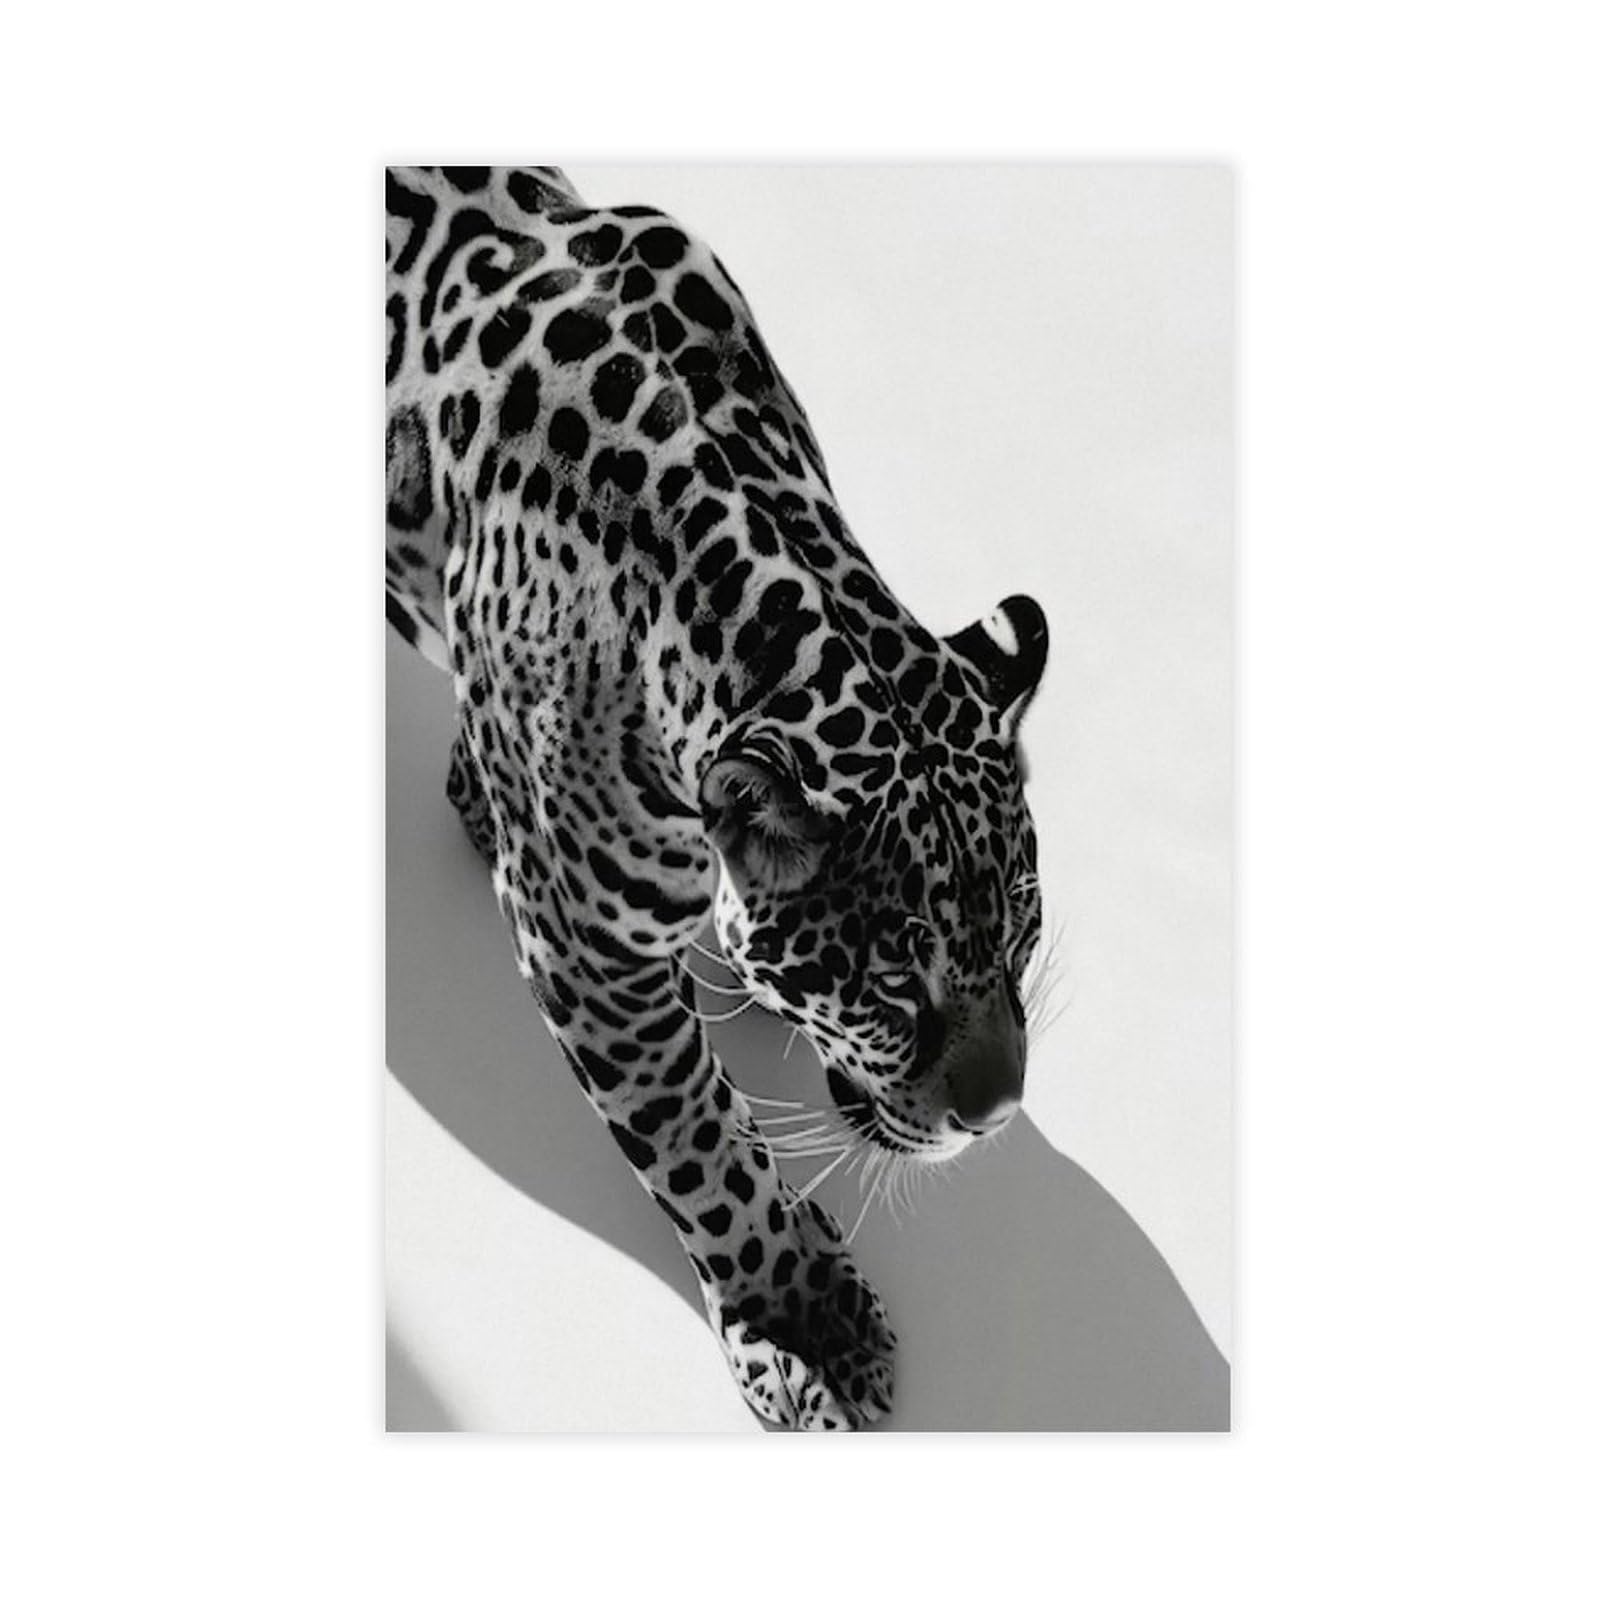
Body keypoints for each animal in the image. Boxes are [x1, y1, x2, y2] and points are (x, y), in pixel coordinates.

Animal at [386, 166, 1050, 1430]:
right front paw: (803, 1321)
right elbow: (699, 1146)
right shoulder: (585, 951)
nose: (993, 1117)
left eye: (1022, 942)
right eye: (895, 981)